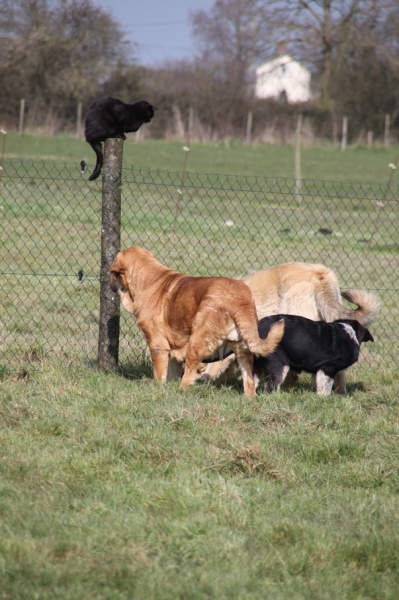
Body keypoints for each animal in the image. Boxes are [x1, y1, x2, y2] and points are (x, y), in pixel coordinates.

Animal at [109, 246, 284, 396]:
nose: (109, 283)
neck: (146, 278)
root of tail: (239, 299)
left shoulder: (158, 345)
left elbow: (159, 374)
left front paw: (158, 388)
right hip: (243, 351)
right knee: (249, 382)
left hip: (196, 342)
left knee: (189, 374)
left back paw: (182, 391)